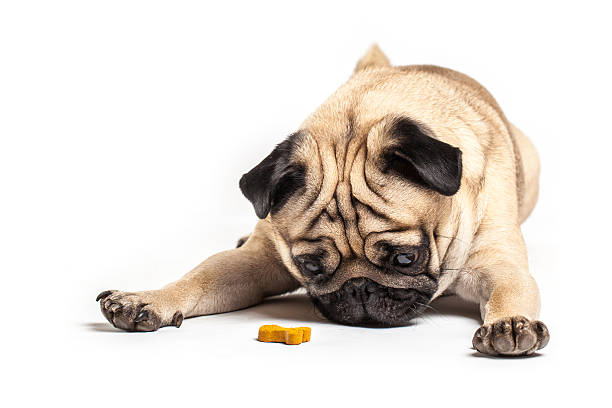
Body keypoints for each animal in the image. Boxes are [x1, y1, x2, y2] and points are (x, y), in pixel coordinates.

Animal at [97, 45, 548, 356]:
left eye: (406, 259)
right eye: (311, 267)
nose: (360, 289)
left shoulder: (498, 263)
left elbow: (510, 290)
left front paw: (510, 325)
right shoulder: (259, 258)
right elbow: (201, 278)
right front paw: (149, 299)